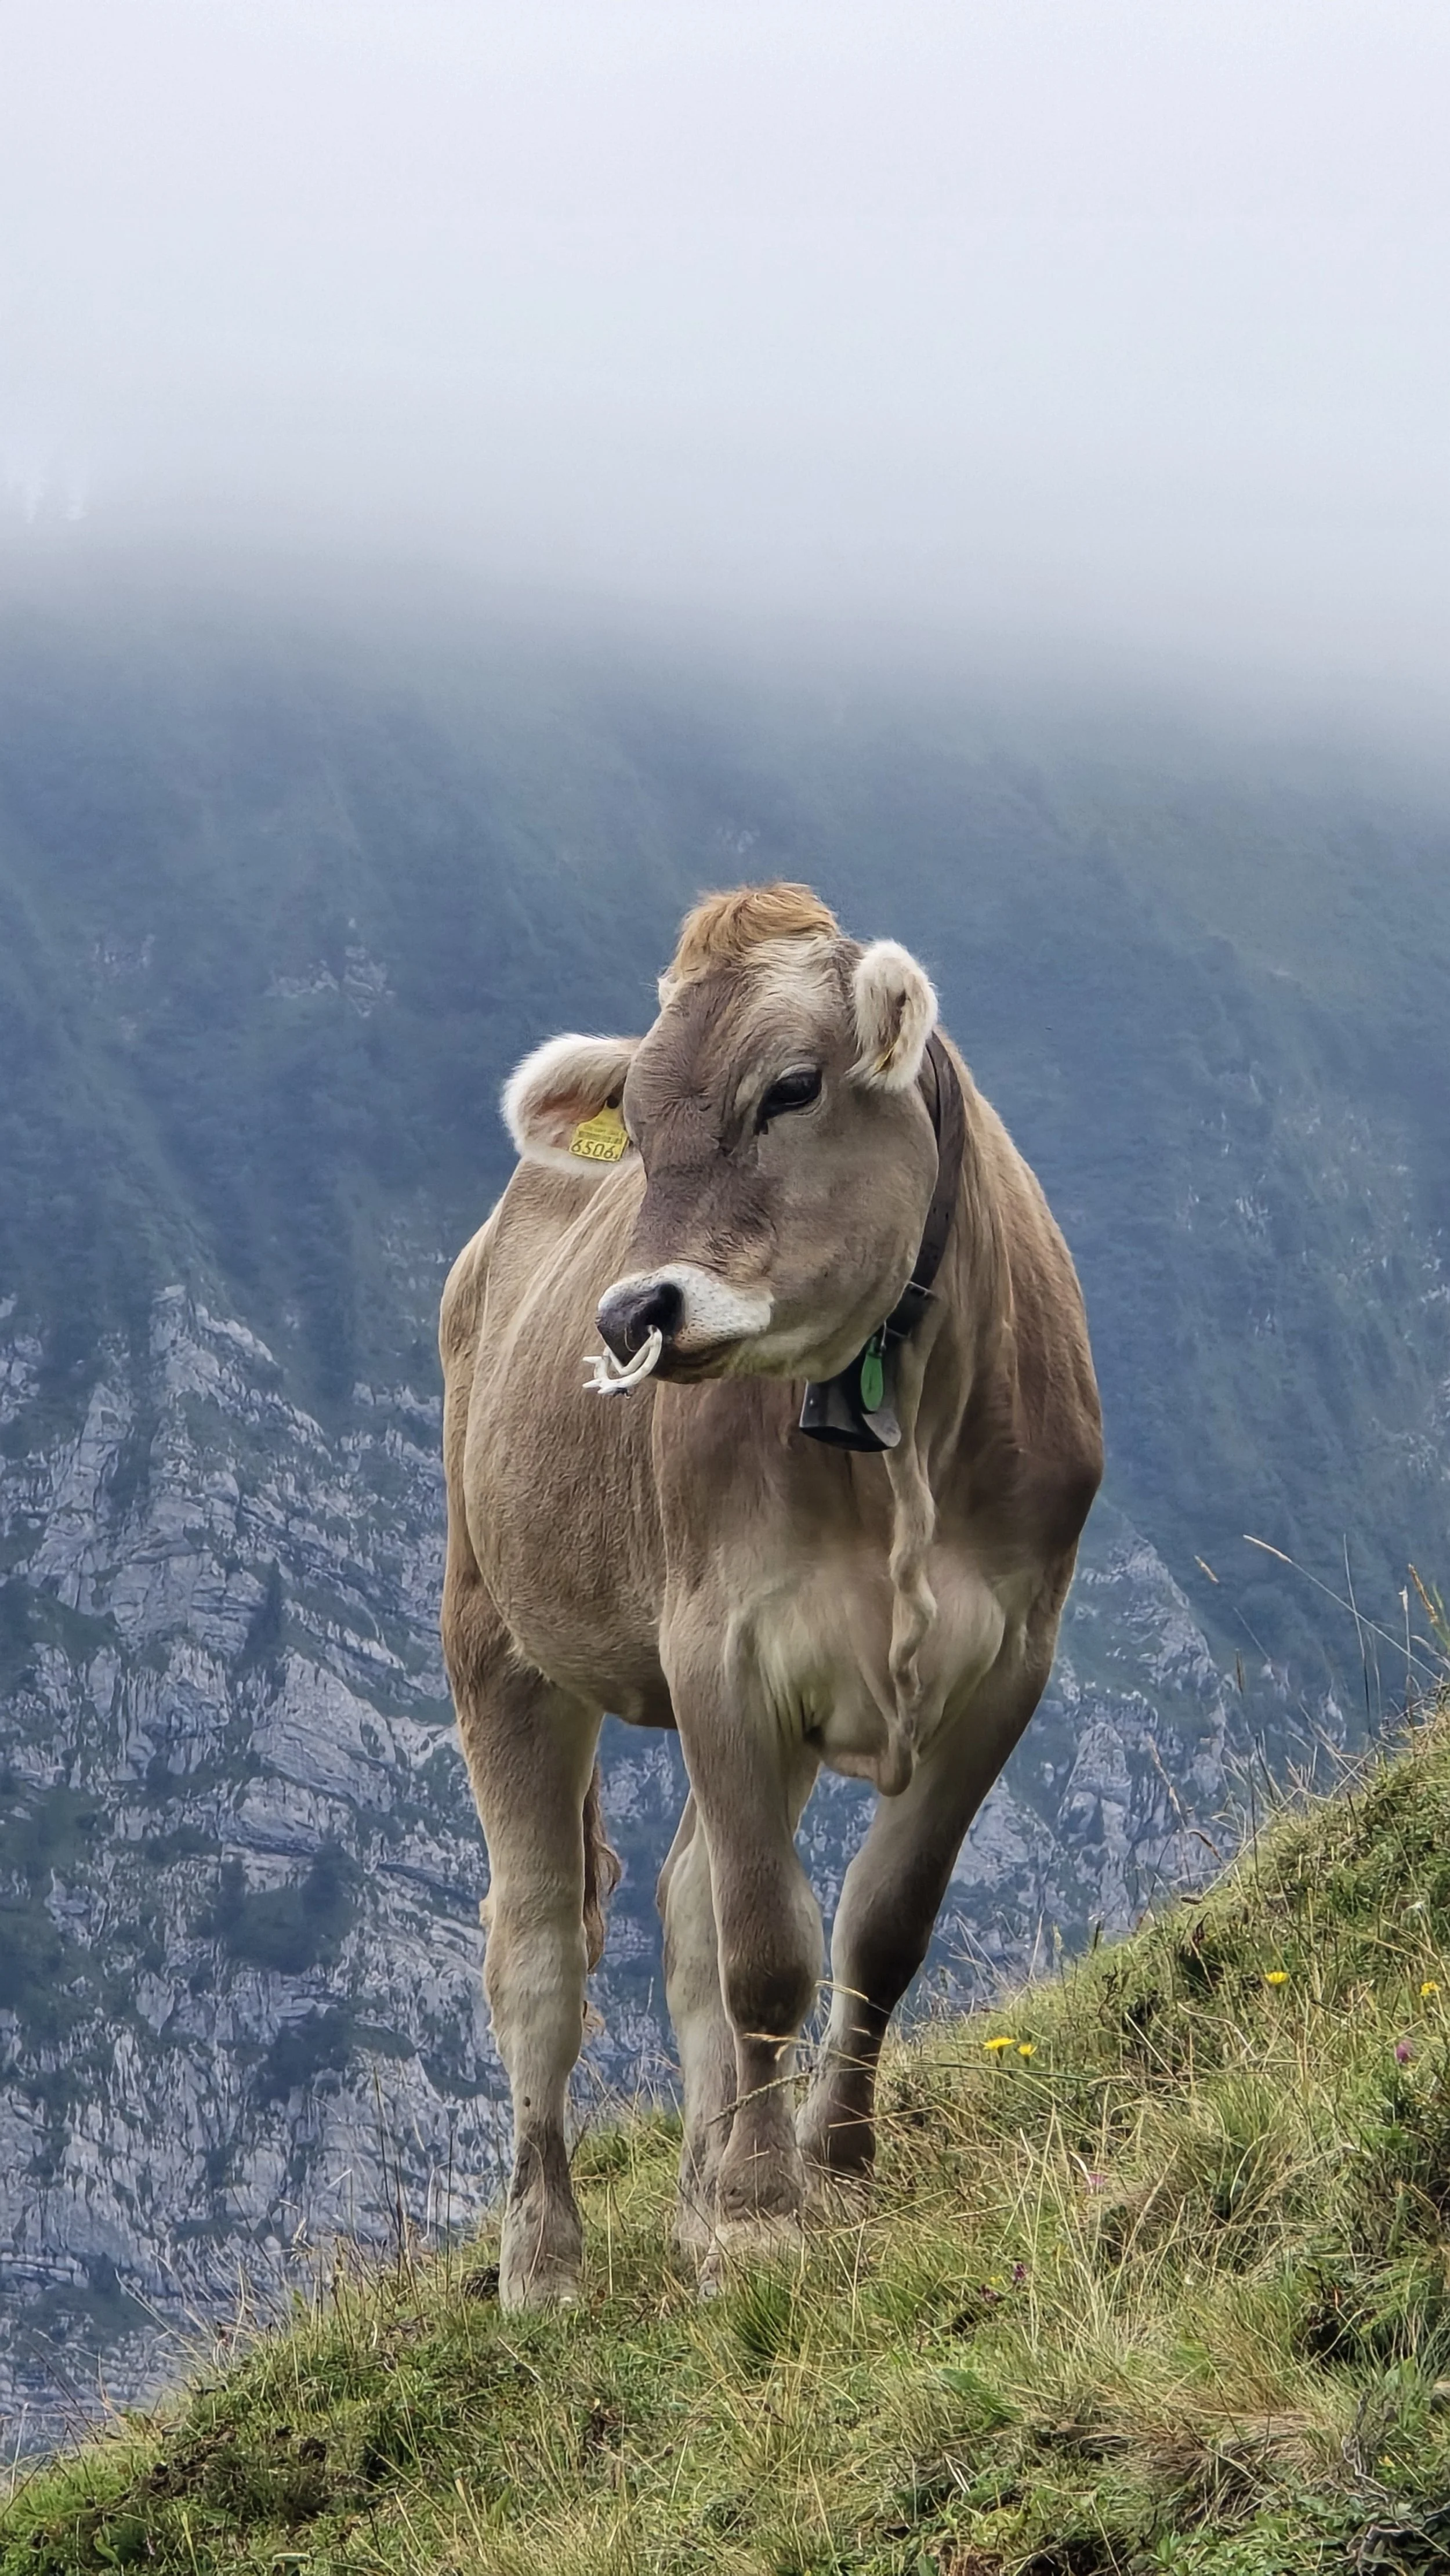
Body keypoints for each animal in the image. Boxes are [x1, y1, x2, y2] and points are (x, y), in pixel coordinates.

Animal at [440, 881, 1101, 2306]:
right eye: (634, 1130)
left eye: (790, 1088)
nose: (630, 1313)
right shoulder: (721, 1653)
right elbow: (763, 1950)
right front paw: (757, 2217)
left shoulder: (1009, 1662)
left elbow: (878, 1929)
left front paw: (829, 2170)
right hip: (495, 1635)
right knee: (540, 1954)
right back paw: (545, 2258)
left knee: (684, 1898)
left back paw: (696, 2185)